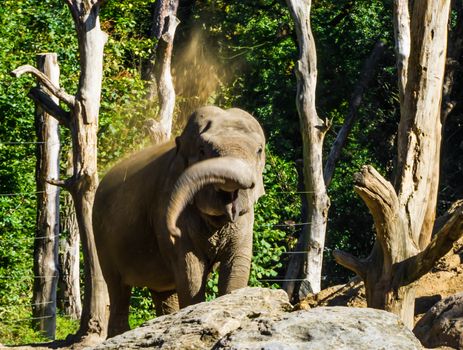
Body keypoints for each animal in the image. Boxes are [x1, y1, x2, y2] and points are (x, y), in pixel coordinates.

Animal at [93, 104, 266, 336]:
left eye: (259, 150)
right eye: (202, 150)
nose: (172, 230)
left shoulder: (245, 221)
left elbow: (236, 262)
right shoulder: (166, 200)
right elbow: (190, 270)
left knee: (163, 292)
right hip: (103, 241)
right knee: (118, 290)